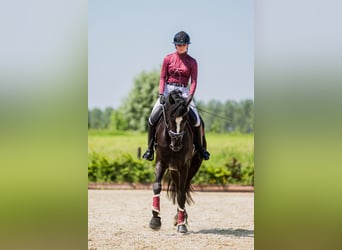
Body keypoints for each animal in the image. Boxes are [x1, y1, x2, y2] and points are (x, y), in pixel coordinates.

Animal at [149, 89, 204, 233]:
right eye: (169, 118)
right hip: (173, 170)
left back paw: (181, 217)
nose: (176, 144)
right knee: (177, 187)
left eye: (185, 120)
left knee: (182, 189)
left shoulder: (184, 166)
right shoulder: (161, 162)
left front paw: (182, 224)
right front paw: (155, 219)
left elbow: (181, 194)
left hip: (192, 166)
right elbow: (157, 186)